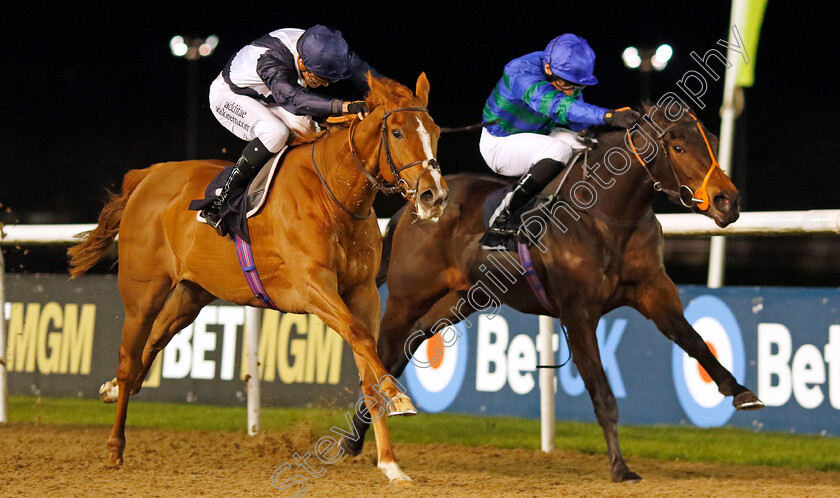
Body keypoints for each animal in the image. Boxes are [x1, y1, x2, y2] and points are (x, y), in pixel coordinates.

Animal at [66, 72, 450, 472]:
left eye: (436, 131)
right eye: (397, 132)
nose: (433, 195)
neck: (334, 194)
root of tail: (151, 174)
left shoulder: (362, 291)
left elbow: (368, 362)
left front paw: (390, 463)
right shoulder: (312, 287)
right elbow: (360, 337)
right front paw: (399, 398)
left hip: (191, 293)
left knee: (153, 341)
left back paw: (112, 389)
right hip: (142, 290)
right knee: (129, 357)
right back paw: (115, 444)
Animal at [342, 102, 768, 482]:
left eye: (714, 141)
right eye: (678, 147)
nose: (728, 201)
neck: (607, 215)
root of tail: (417, 204)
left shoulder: (654, 291)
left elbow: (695, 342)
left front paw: (741, 391)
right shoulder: (577, 312)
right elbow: (601, 391)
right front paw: (620, 467)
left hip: (459, 299)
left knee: (405, 348)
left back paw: (355, 440)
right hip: (406, 297)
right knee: (380, 356)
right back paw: (359, 441)